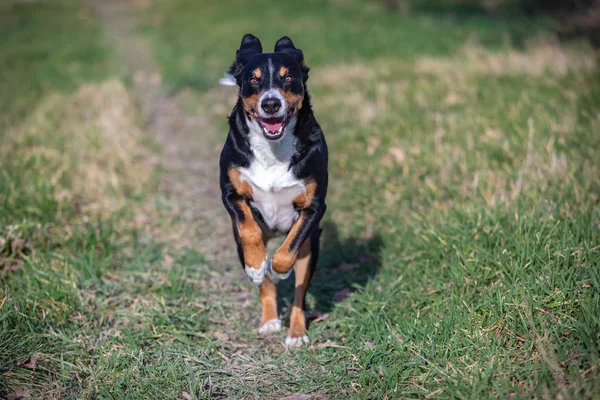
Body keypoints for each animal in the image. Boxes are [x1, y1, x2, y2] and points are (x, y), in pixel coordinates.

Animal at [218, 33, 328, 346]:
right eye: (253, 80)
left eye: (288, 77)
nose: (270, 104)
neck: (273, 150)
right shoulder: (230, 192)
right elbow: (249, 230)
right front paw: (257, 267)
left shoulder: (314, 207)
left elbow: (288, 250)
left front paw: (279, 270)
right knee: (263, 285)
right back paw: (268, 320)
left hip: (312, 247)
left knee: (300, 294)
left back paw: (296, 333)